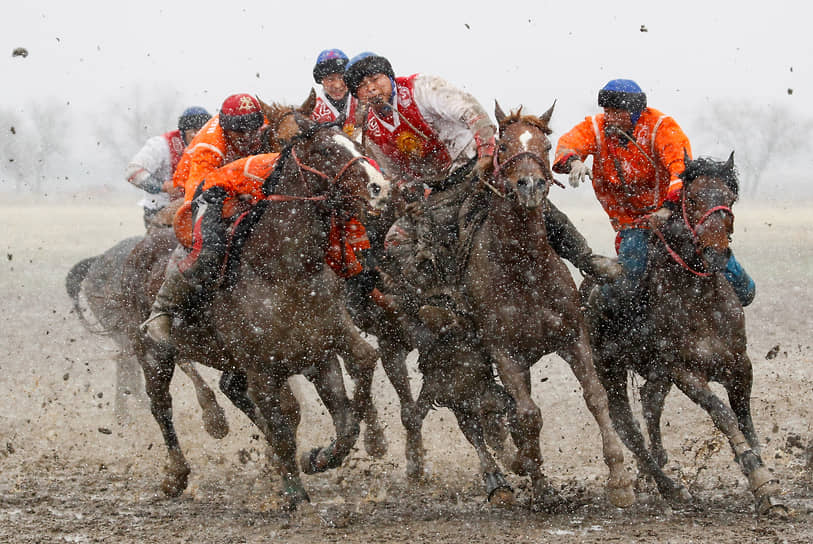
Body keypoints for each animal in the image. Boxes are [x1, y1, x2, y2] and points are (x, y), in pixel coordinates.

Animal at [64, 236, 225, 436]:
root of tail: (95, 262)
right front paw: (214, 418)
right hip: (127, 333)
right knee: (129, 366)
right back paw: (126, 412)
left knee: (126, 366)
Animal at [125, 115, 392, 510]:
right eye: (325, 150)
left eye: (358, 144)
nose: (380, 187)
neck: (285, 271)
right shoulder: (262, 369)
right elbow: (283, 427)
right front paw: (295, 495)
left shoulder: (320, 351)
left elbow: (344, 419)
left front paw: (317, 458)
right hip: (152, 352)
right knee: (162, 405)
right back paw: (176, 475)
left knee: (232, 390)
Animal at [456, 103, 636, 510]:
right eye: (503, 145)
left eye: (546, 145)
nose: (531, 185)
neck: (524, 270)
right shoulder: (504, 353)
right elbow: (527, 415)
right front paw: (538, 483)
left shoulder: (573, 339)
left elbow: (596, 397)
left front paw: (619, 479)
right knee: (474, 417)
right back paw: (502, 480)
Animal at [584, 154, 788, 520]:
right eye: (692, 199)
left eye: (729, 199)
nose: (716, 253)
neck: (701, 301)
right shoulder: (684, 371)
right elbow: (722, 414)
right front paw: (758, 475)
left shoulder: (740, 366)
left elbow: (745, 421)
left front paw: (767, 482)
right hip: (610, 368)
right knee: (626, 425)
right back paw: (670, 487)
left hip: (656, 373)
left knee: (650, 404)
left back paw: (658, 466)